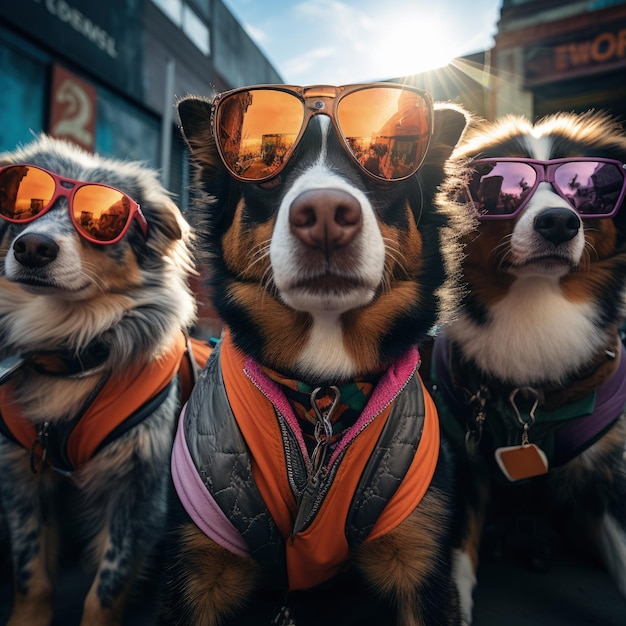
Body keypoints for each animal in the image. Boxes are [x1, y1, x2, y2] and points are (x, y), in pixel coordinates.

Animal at [0, 136, 211, 624]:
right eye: (18, 200)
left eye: (99, 219)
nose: (32, 247)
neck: (70, 352)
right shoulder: (22, 477)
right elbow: (30, 572)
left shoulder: (139, 489)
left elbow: (106, 590)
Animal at [158, 84, 470, 624]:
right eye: (267, 171)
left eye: (381, 167)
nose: (325, 212)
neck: (321, 388)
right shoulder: (195, 570)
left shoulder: (420, 560)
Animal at [428, 109, 626, 620]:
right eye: (500, 183)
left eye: (588, 184)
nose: (559, 222)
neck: (535, 304)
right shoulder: (463, 459)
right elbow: (455, 569)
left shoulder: (607, 473)